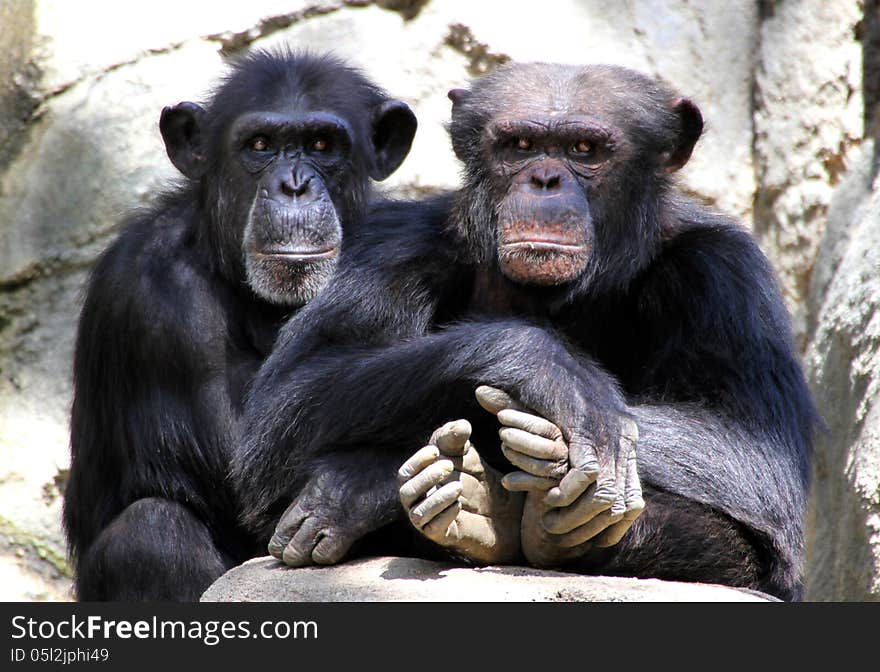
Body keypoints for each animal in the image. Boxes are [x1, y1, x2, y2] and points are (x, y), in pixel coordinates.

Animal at [62, 48, 420, 604]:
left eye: (322, 144)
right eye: (260, 145)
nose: (294, 185)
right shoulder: (157, 298)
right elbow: (250, 474)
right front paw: (360, 486)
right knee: (151, 536)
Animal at [234, 61, 820, 600]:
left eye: (585, 149)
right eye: (519, 145)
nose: (544, 179)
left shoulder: (726, 273)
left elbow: (756, 450)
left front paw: (359, 485)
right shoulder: (392, 243)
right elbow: (291, 397)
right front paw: (555, 376)